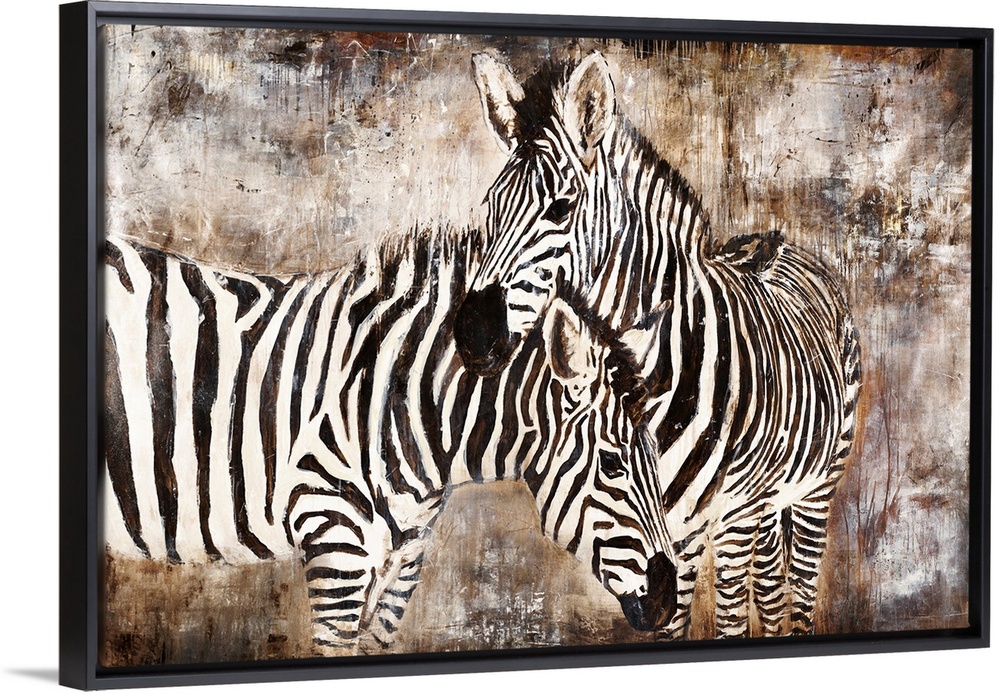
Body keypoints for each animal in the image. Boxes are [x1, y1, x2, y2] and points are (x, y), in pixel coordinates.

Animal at [102, 226, 677, 656]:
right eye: (612, 465)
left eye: (656, 458)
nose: (669, 601)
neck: (397, 401)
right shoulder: (334, 539)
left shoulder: (403, 561)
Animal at [455, 51, 862, 639]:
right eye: (489, 208)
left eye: (561, 208)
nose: (471, 334)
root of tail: (783, 244)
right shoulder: (669, 527)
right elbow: (674, 618)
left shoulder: (729, 519)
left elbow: (729, 619)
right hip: (766, 507)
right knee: (769, 589)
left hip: (813, 489)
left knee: (799, 591)